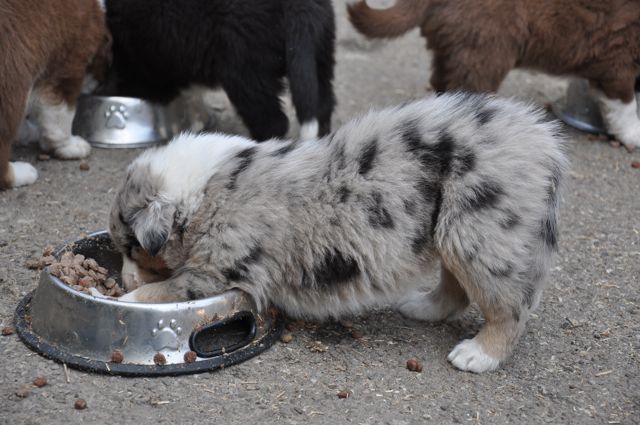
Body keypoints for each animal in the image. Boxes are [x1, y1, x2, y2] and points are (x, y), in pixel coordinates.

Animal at [0, 0, 109, 189]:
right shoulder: (66, 64)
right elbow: (60, 118)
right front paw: (70, 146)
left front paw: (28, 133)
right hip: (11, 77)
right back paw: (20, 174)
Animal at [107, 93, 568, 372]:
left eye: (131, 247)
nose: (121, 277)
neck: (200, 190)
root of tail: (540, 137)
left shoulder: (215, 270)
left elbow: (162, 290)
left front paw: (125, 298)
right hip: (451, 228)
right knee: (457, 286)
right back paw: (422, 307)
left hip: (478, 229)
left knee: (510, 305)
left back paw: (480, 354)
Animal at [348, 0, 640, 149]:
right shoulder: (619, 63)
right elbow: (624, 106)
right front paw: (633, 136)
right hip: (484, 51)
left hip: (455, 48)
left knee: (442, 84)